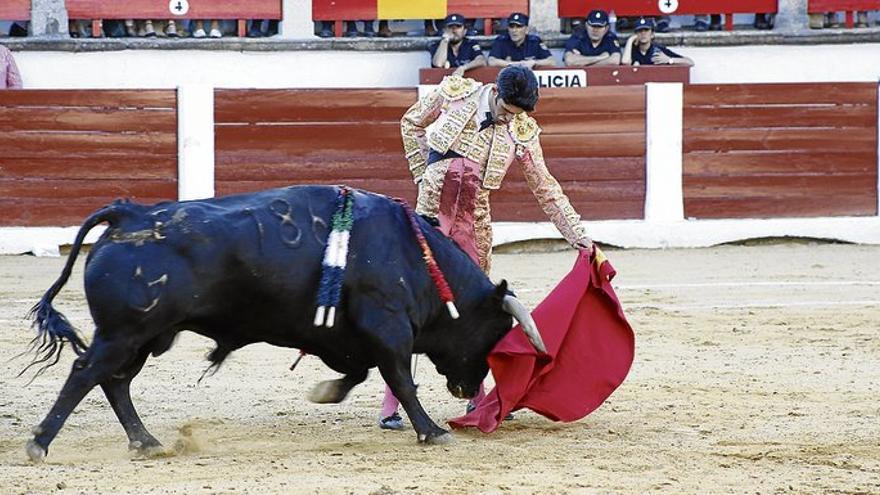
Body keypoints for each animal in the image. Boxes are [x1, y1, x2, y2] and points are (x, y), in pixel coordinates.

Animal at [24, 185, 544, 462]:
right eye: (493, 333)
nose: (466, 388)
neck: (414, 255)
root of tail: (127, 214)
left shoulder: (348, 336)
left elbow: (359, 372)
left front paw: (325, 392)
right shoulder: (387, 325)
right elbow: (400, 377)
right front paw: (432, 430)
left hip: (145, 336)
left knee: (114, 381)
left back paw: (146, 442)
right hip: (125, 332)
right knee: (86, 373)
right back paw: (40, 444)